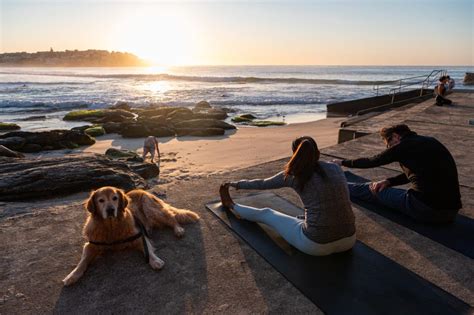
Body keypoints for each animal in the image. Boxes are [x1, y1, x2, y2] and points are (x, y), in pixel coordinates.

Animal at [62, 186, 199, 288]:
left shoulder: (138, 236)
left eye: (115, 198)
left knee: (171, 218)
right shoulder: (91, 244)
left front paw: (155, 261)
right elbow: (83, 261)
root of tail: (142, 190)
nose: (110, 210)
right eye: (101, 200)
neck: (111, 227)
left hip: (151, 208)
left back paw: (178, 229)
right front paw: (72, 275)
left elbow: (148, 250)